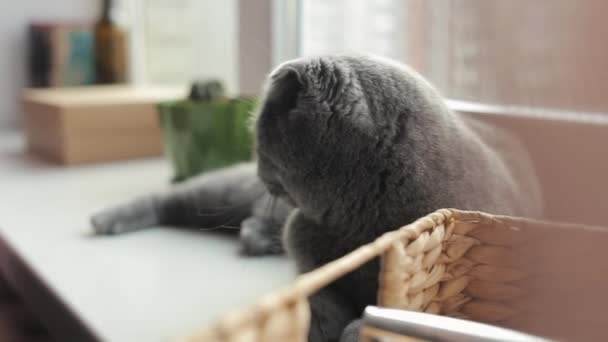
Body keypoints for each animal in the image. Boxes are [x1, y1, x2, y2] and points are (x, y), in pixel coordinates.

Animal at [90, 53, 540, 342]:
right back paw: (106, 220)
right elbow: (318, 303)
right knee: (169, 198)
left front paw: (355, 331)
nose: (255, 162)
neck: (355, 221)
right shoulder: (310, 269)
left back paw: (256, 238)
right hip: (223, 192)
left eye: (259, 139)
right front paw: (320, 328)